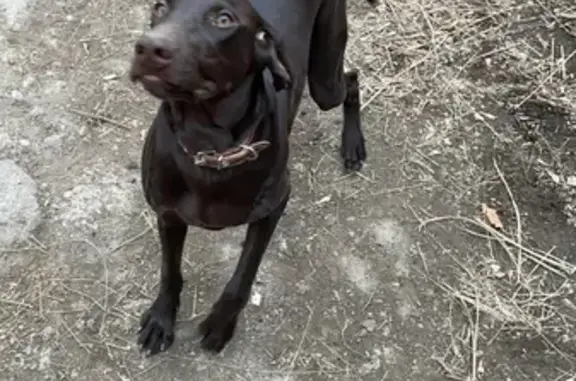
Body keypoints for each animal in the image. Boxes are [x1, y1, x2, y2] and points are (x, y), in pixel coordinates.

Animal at [129, 0, 374, 356]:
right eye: (160, 7)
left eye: (224, 19)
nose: (147, 47)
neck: (209, 149)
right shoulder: (168, 214)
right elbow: (169, 271)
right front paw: (161, 319)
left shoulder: (273, 207)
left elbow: (243, 276)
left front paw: (221, 324)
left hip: (325, 79)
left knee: (351, 79)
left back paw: (352, 143)